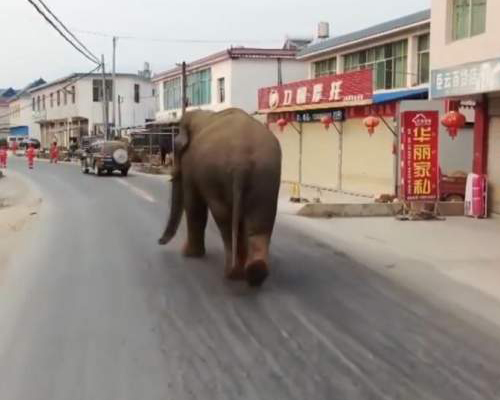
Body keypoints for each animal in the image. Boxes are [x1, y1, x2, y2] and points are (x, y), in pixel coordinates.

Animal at [158, 108, 282, 286]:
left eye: (177, 149)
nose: (159, 241)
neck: (204, 114)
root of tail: (241, 162)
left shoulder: (190, 164)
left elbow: (194, 205)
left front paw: (188, 254)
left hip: (217, 176)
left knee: (224, 219)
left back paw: (233, 273)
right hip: (266, 175)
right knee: (261, 220)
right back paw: (254, 272)